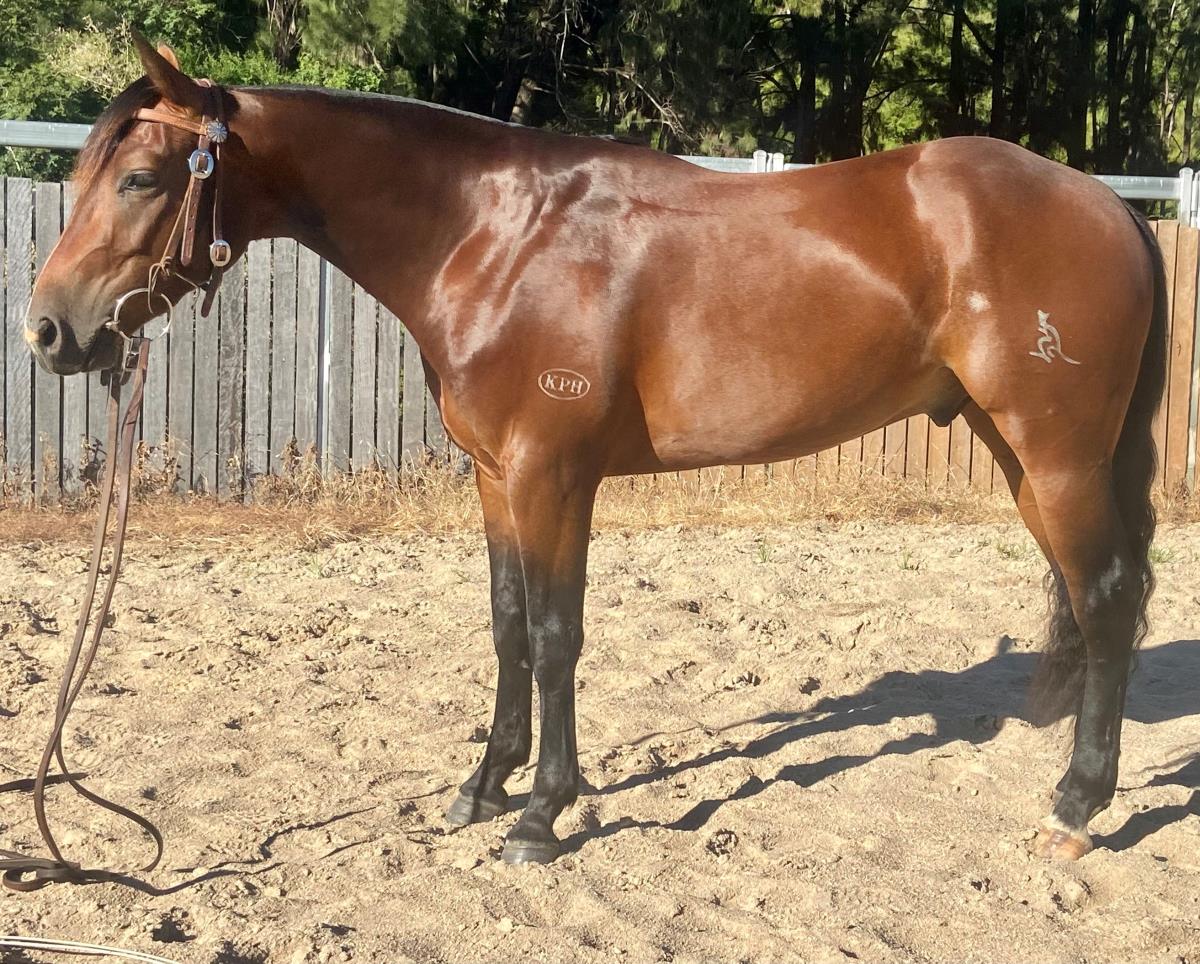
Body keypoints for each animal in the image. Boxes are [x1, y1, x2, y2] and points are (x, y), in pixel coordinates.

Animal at [26, 33, 1166, 866]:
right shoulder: (496, 478)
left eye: (139, 177)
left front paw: (541, 814)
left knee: (1109, 596)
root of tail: (1110, 206)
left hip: (1058, 456)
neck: (492, 238)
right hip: (1020, 458)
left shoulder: (554, 476)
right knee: (1095, 595)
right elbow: (504, 626)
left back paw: (1075, 808)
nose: (49, 331)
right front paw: (483, 786)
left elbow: (554, 637)